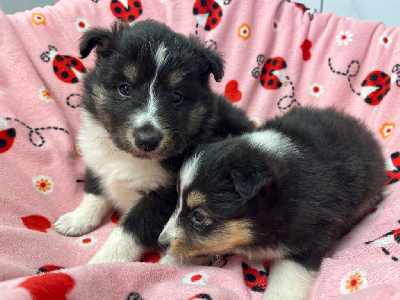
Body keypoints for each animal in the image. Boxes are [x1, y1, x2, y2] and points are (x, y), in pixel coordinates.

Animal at [53, 19, 253, 264]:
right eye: (124, 88)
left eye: (176, 97)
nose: (147, 140)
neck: (128, 157)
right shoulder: (97, 160)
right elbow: (94, 191)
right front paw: (76, 220)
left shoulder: (163, 197)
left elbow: (128, 231)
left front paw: (102, 263)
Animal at [159, 107, 388, 300]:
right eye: (177, 201)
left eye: (198, 215)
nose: (161, 243)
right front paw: (166, 262)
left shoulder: (309, 236)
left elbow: (287, 277)